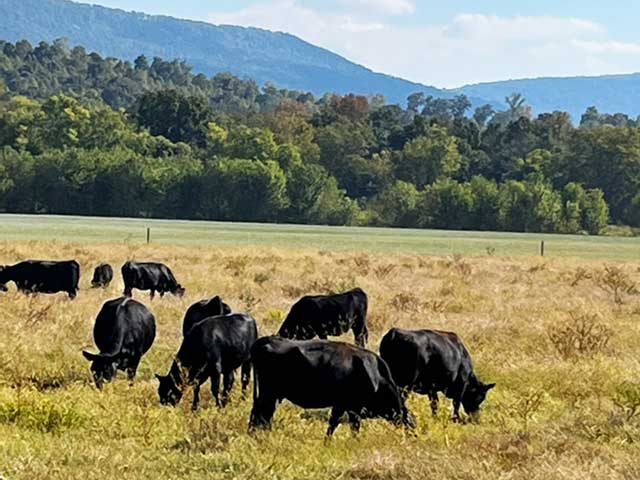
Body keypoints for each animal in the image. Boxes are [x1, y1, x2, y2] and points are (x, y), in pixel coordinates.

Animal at [245, 336, 416, 436]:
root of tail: (265, 340)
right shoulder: (350, 406)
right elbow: (346, 425)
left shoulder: (344, 405)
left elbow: (336, 424)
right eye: (411, 425)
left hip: (269, 394)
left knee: (261, 414)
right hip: (268, 393)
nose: (413, 437)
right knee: (262, 414)